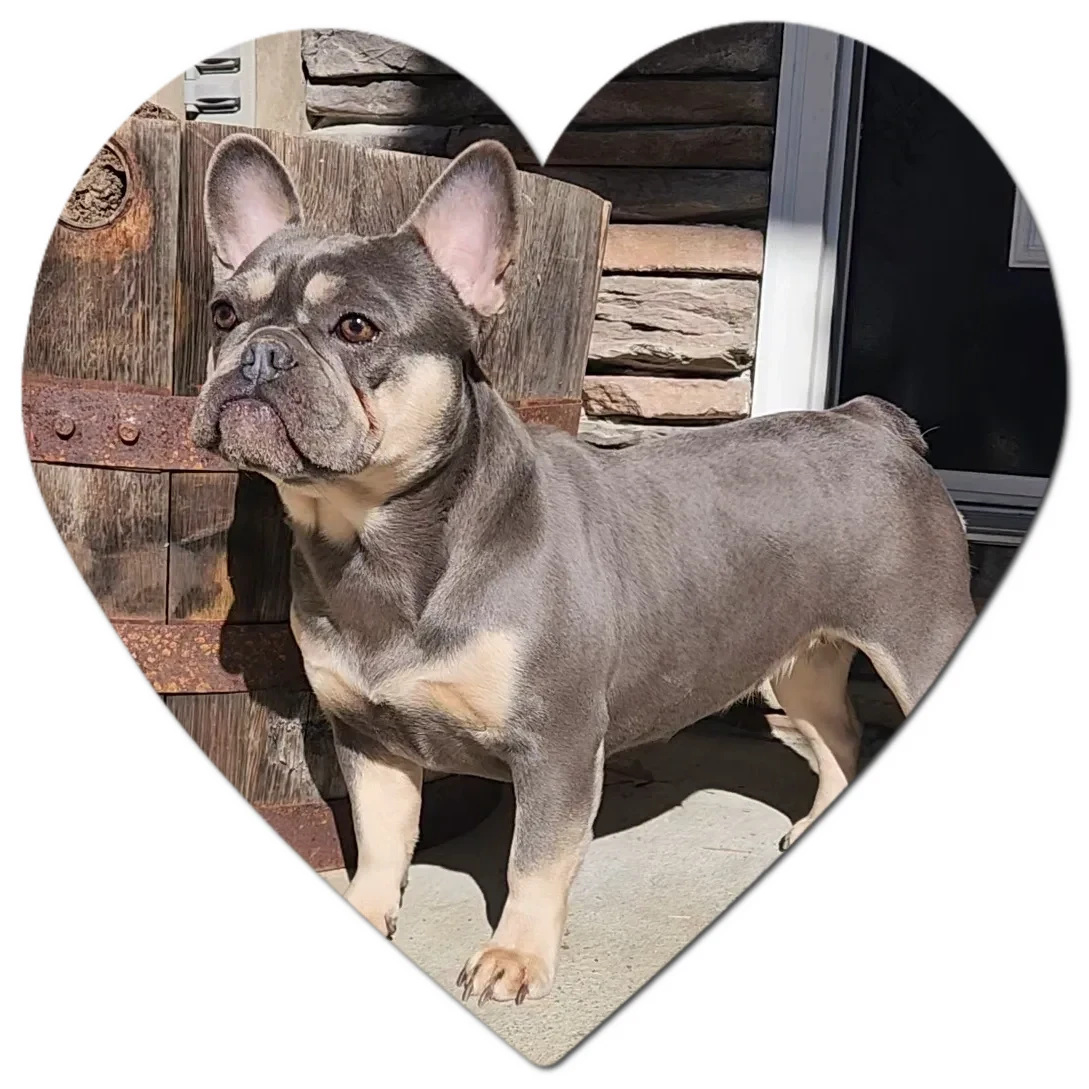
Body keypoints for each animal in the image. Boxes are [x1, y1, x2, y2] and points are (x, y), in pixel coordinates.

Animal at [191, 134, 976, 1006]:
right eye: (223, 314)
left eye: (355, 326)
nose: (259, 354)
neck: (378, 540)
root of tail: (870, 423)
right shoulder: (370, 737)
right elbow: (381, 839)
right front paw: (364, 913)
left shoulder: (555, 742)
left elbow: (535, 858)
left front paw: (514, 955)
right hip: (795, 660)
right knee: (835, 731)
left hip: (916, 641)